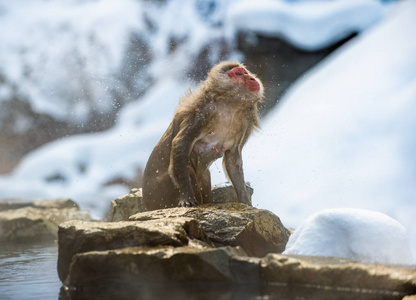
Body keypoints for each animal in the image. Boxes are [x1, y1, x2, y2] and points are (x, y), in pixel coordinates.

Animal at [143, 61, 264, 211]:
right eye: (238, 73)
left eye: (245, 72)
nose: (252, 78)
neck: (231, 104)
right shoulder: (201, 111)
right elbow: (181, 143)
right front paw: (187, 197)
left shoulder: (247, 121)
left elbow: (232, 159)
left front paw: (245, 201)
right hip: (161, 192)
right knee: (187, 169)